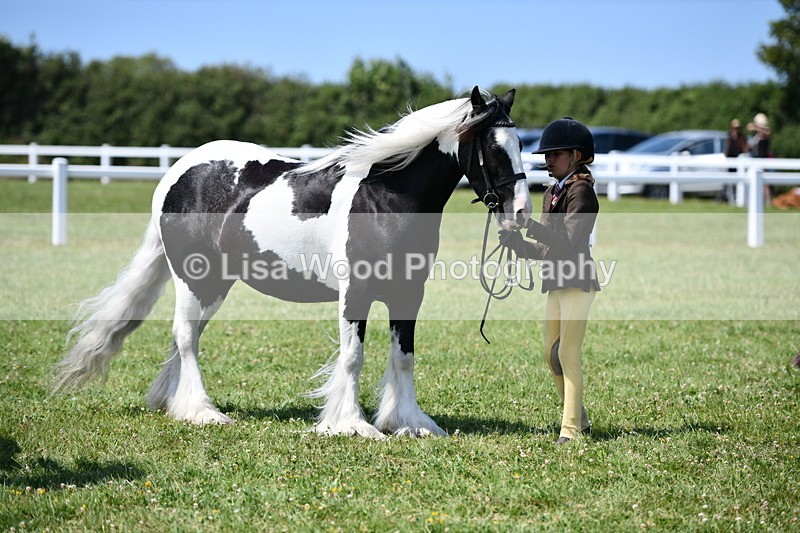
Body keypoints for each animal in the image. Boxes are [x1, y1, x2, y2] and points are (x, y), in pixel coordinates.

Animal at [52, 86, 532, 438]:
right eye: (493, 148)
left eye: (520, 145)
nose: (522, 212)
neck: (384, 196)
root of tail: (176, 173)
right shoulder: (355, 292)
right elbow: (353, 356)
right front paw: (351, 425)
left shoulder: (408, 293)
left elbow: (404, 358)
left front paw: (411, 424)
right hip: (194, 278)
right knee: (186, 338)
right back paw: (203, 412)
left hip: (214, 285)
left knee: (184, 337)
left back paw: (176, 405)